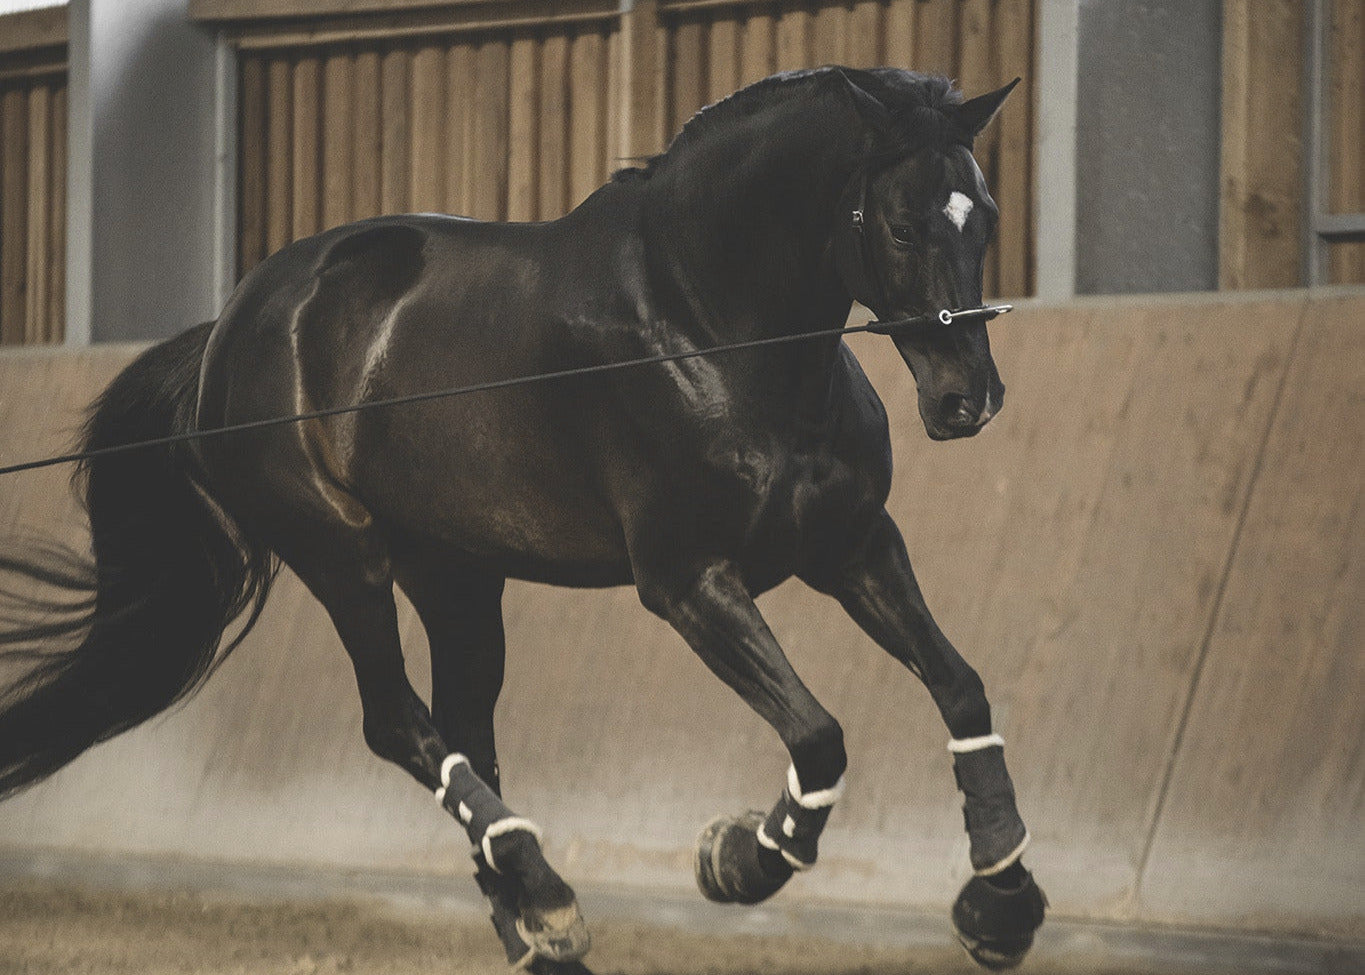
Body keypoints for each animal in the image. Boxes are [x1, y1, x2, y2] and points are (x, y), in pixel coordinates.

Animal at [0, 67, 1045, 971]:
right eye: (901, 225)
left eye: (985, 214)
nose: (967, 399)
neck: (709, 327)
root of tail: (229, 328)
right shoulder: (689, 582)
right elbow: (819, 734)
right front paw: (737, 859)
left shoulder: (853, 545)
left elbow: (959, 688)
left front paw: (1001, 903)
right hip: (345, 557)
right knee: (399, 723)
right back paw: (546, 894)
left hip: (458, 576)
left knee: (464, 730)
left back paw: (531, 916)